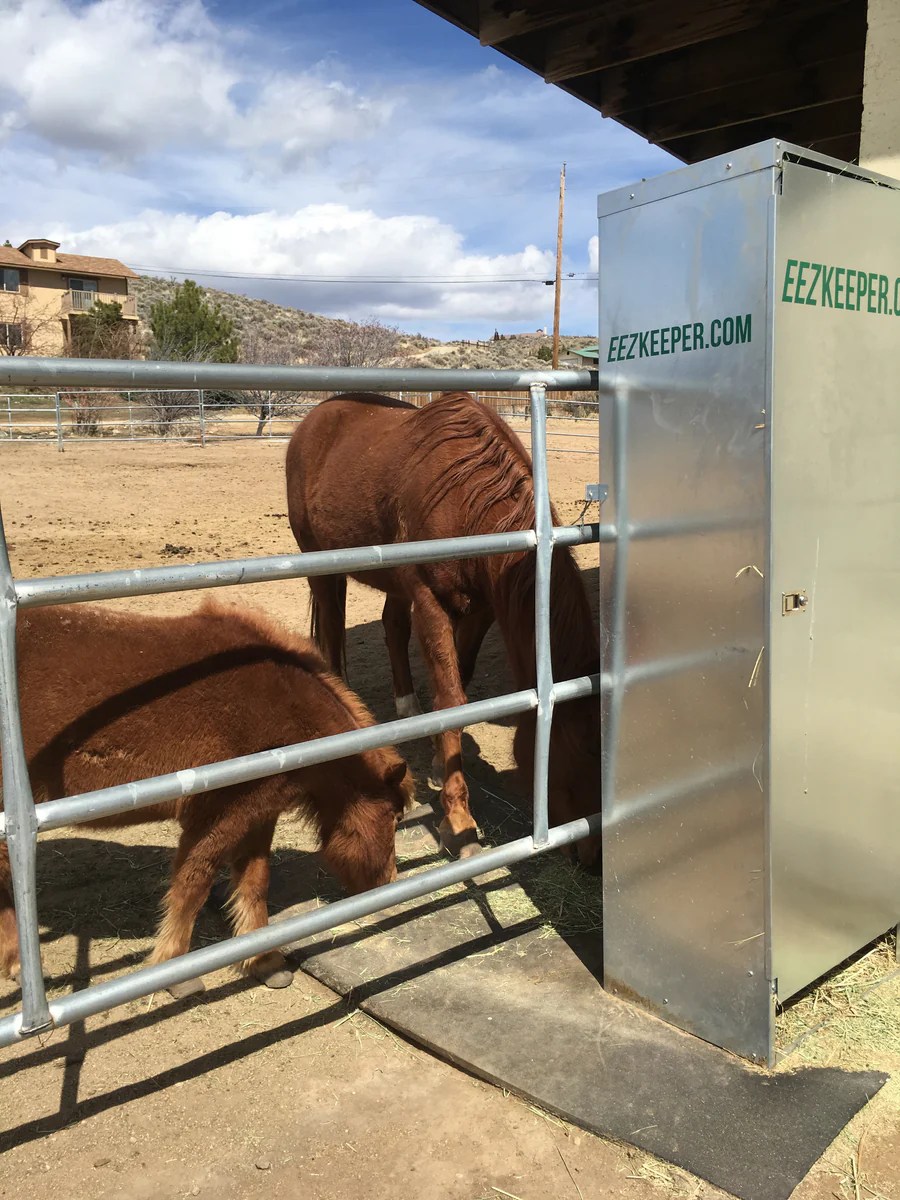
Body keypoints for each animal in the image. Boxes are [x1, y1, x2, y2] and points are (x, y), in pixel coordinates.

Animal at [0, 599, 414, 997]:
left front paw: (264, 962)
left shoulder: (258, 815)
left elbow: (254, 883)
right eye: (395, 818)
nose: (390, 884)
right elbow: (192, 887)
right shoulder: (218, 817)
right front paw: (176, 972)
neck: (284, 708)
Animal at [285, 391, 600, 865]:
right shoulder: (432, 602)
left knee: (392, 627)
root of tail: (313, 418)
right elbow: (451, 698)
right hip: (324, 570)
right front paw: (459, 823)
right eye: (573, 753)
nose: (595, 862)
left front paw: (436, 763)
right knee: (332, 638)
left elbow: (461, 682)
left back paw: (407, 706)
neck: (467, 501)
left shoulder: (483, 607)